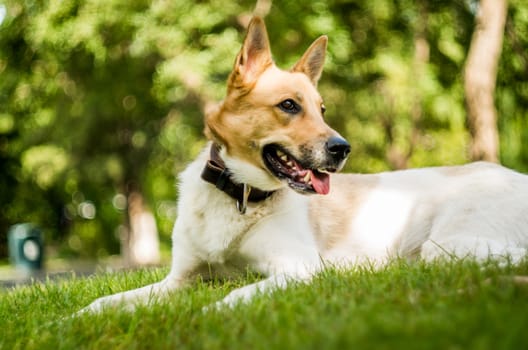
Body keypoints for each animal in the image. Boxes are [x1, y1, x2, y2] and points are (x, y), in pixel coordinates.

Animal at [79, 15, 528, 312]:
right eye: (289, 106)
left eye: (322, 109)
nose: (343, 148)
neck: (240, 195)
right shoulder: (180, 279)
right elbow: (108, 301)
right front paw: (77, 319)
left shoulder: (297, 269)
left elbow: (237, 293)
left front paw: (212, 312)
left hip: (447, 246)